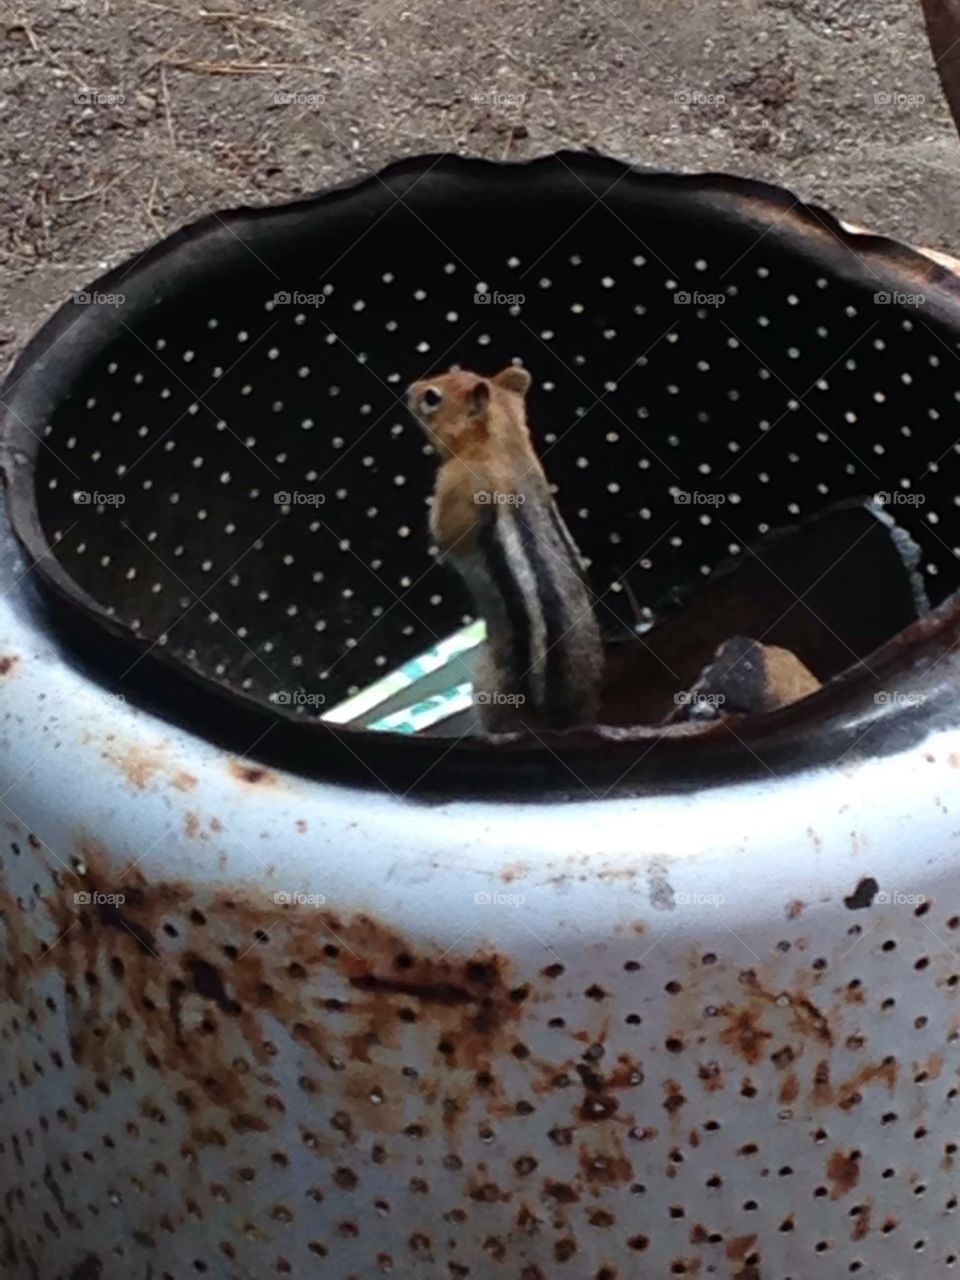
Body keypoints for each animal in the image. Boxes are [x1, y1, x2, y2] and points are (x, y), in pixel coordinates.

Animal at [407, 364, 603, 733]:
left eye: (432, 398)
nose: (409, 389)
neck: (504, 443)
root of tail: (557, 717)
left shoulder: (455, 488)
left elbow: (446, 536)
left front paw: (439, 550)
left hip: (487, 678)